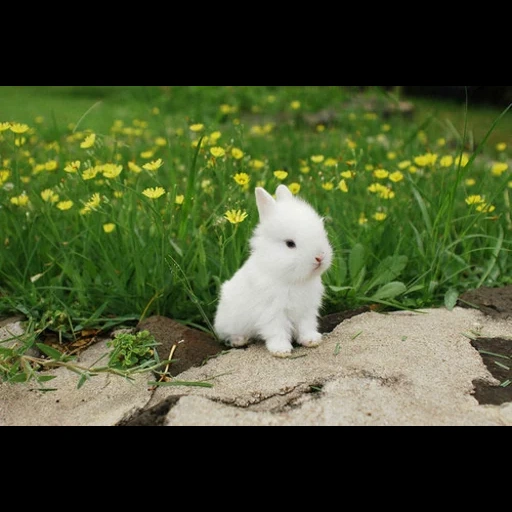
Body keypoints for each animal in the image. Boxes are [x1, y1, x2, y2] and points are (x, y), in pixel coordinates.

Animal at [214, 183, 334, 356]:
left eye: (322, 232)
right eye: (290, 244)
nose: (319, 257)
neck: (291, 279)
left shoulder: (306, 310)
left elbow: (306, 326)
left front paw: (312, 340)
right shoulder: (272, 313)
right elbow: (277, 331)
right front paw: (281, 351)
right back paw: (239, 340)